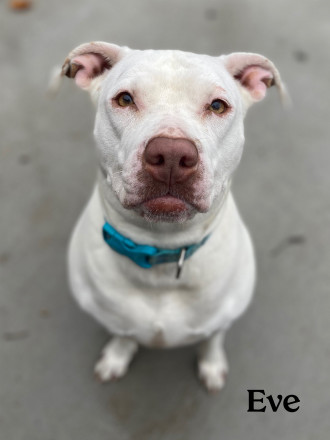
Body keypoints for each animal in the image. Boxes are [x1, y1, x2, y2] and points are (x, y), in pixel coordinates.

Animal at [58, 42, 284, 392]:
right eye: (125, 99)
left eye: (217, 106)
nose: (173, 155)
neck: (162, 254)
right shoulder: (114, 318)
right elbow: (123, 334)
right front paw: (116, 357)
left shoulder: (221, 319)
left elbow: (212, 339)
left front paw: (212, 366)